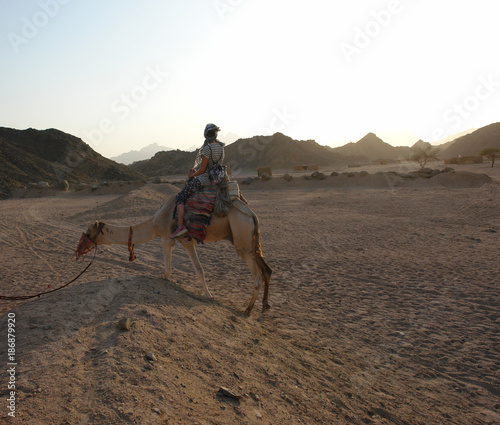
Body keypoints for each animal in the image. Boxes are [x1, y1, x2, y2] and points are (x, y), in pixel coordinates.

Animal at [79, 193, 272, 314]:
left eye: (88, 232)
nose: (79, 249)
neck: (154, 222)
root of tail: (252, 214)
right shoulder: (186, 241)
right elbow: (199, 270)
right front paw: (209, 295)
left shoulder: (167, 238)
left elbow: (169, 272)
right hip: (251, 240)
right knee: (267, 270)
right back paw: (265, 305)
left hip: (242, 235)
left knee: (257, 276)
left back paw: (247, 310)